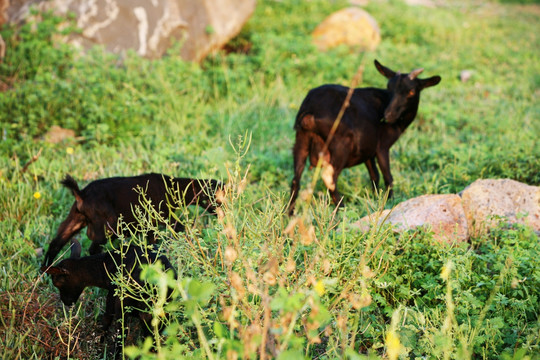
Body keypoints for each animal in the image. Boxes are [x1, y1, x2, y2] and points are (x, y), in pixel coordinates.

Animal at [41, 174, 220, 268]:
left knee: (56, 243)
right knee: (93, 249)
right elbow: (175, 230)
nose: (222, 213)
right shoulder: (158, 220)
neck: (172, 189)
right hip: (107, 226)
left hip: (75, 219)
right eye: (216, 194)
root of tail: (81, 194)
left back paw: (45, 270)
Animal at [288, 59, 440, 214]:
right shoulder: (381, 146)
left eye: (411, 91)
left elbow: (374, 175)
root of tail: (310, 110)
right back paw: (341, 209)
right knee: (329, 177)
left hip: (301, 139)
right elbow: (387, 176)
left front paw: (375, 198)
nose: (387, 115)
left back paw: (289, 213)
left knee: (296, 179)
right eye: (389, 88)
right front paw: (390, 201)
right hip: (341, 143)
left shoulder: (367, 150)